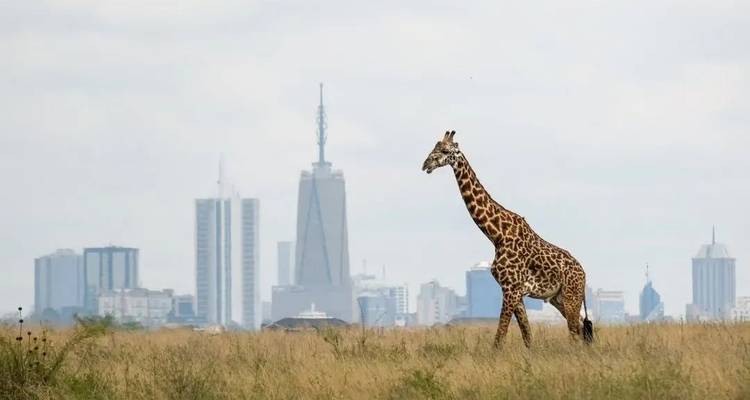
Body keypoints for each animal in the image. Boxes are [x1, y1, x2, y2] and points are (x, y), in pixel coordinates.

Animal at [422, 130, 592, 348]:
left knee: (575, 331)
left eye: (444, 150)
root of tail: (583, 273)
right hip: (558, 298)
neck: (497, 235)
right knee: (580, 328)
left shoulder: (511, 290)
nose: (426, 164)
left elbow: (499, 337)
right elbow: (527, 336)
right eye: (433, 147)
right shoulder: (514, 292)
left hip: (572, 295)